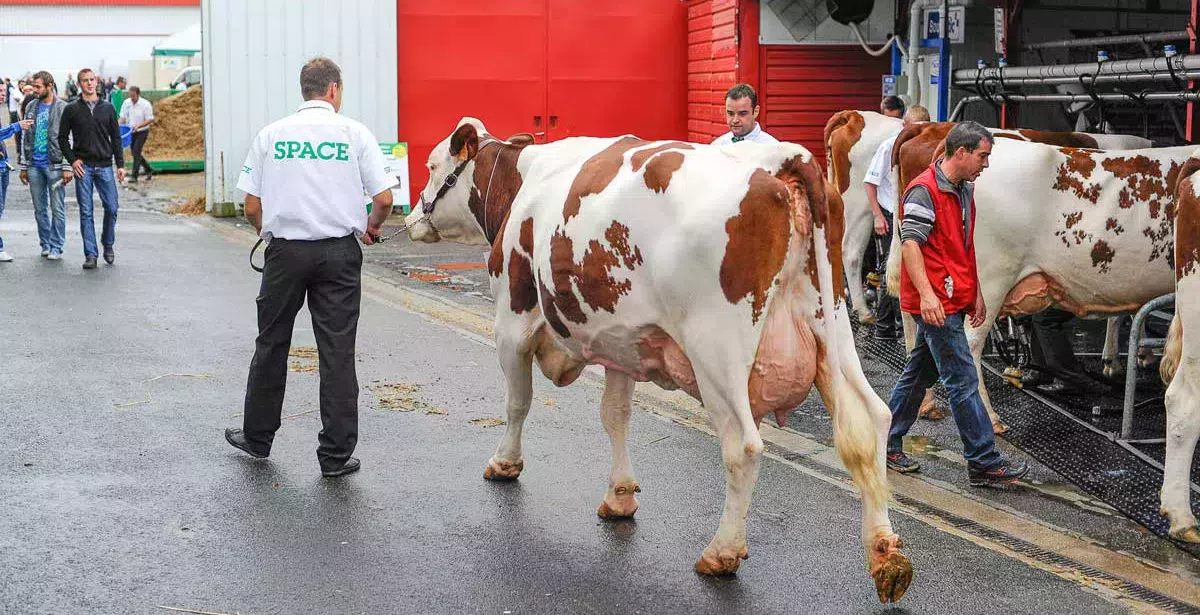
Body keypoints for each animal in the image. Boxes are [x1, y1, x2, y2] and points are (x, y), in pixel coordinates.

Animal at [408, 118, 912, 600]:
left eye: (432, 166)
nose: (413, 215)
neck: (523, 181)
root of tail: (784, 158)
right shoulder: (619, 343)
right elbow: (615, 415)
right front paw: (619, 496)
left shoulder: (511, 321)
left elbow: (517, 402)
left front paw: (505, 463)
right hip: (831, 326)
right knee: (871, 422)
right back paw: (885, 553)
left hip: (717, 350)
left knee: (743, 446)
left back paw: (722, 552)